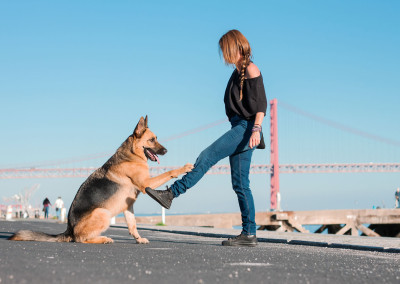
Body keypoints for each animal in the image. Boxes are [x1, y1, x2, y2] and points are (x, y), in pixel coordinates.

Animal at [9, 116, 194, 244]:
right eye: (152, 140)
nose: (166, 150)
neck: (132, 155)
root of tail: (69, 230)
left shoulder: (128, 206)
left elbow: (132, 225)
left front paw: (138, 239)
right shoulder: (146, 184)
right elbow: (168, 172)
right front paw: (183, 168)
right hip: (103, 213)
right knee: (80, 239)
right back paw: (103, 239)